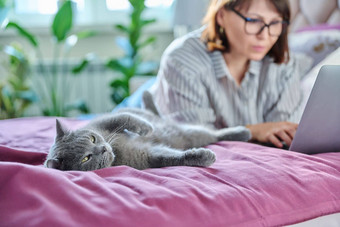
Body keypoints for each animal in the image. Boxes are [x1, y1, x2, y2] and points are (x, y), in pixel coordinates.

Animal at [45, 91, 251, 171]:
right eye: (86, 158)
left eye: (93, 139)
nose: (103, 149)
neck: (116, 152)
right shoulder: (144, 156)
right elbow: (170, 157)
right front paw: (203, 157)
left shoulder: (105, 121)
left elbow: (126, 117)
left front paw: (146, 129)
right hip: (189, 137)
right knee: (210, 135)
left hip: (189, 132)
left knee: (214, 132)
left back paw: (244, 132)